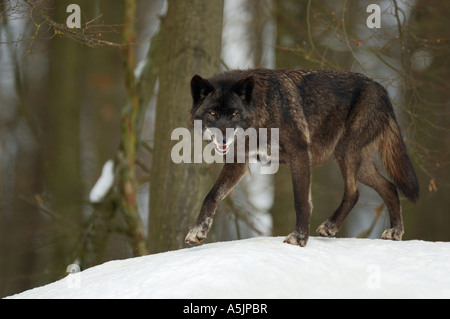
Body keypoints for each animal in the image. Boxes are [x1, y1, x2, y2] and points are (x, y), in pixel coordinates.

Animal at [185, 68, 416, 248]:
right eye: (213, 113)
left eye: (234, 114)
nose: (224, 138)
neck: (263, 112)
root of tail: (382, 89)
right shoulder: (238, 163)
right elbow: (211, 196)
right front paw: (197, 231)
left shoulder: (300, 154)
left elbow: (301, 200)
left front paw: (299, 238)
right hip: (359, 164)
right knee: (388, 187)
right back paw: (394, 232)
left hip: (346, 153)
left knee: (354, 192)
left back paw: (334, 227)